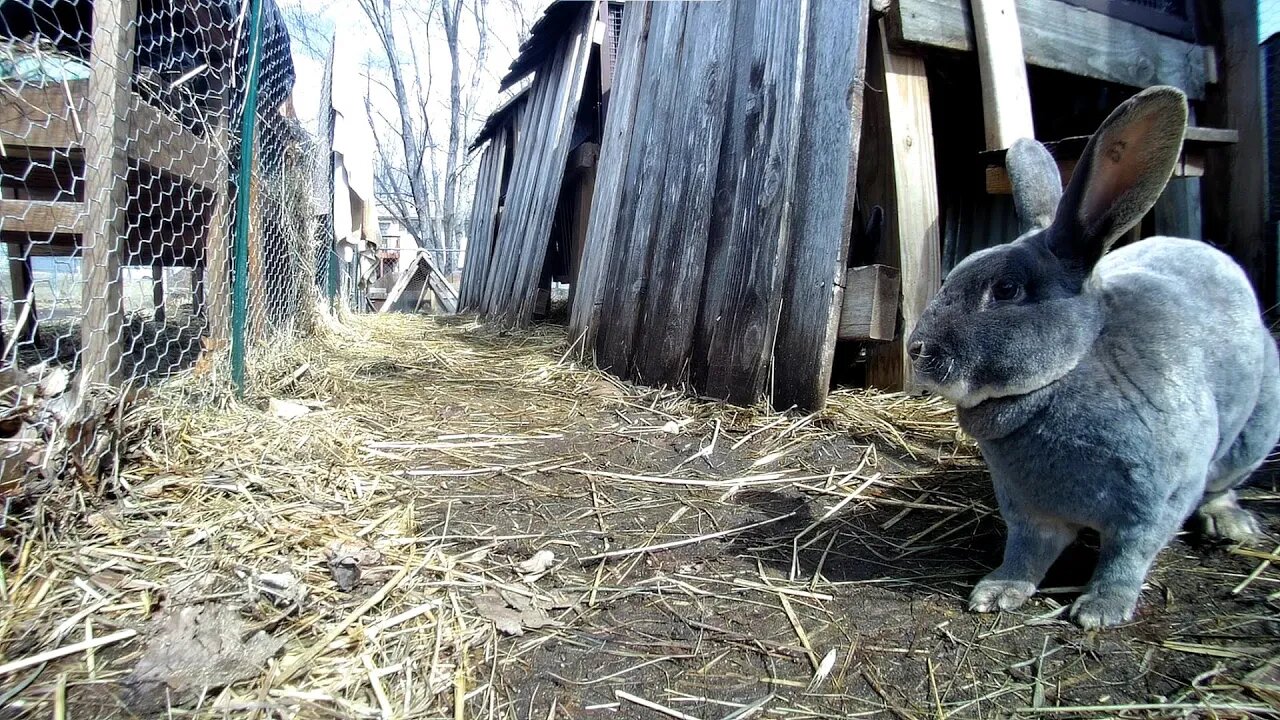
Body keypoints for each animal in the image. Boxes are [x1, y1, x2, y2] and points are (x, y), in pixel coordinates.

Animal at [911, 85, 1280, 627]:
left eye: (1006, 290)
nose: (917, 349)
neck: (1067, 371)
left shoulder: (1153, 506)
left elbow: (1126, 558)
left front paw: (1100, 611)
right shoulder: (1027, 510)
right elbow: (1027, 553)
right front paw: (996, 593)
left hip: (1251, 436)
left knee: (1222, 485)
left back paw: (1230, 524)